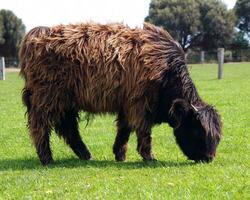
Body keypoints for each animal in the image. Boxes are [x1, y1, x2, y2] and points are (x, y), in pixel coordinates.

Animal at [20, 22, 223, 165]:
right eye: (197, 130)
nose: (208, 158)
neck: (165, 70)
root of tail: (37, 34)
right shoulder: (139, 105)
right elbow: (143, 131)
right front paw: (149, 157)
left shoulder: (127, 105)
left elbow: (124, 130)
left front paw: (120, 154)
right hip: (47, 98)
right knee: (40, 126)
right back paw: (47, 158)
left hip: (67, 102)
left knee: (68, 129)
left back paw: (86, 155)